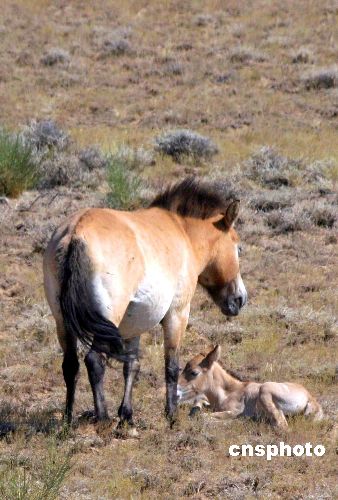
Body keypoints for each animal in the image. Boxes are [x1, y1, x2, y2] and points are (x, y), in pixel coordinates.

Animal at [43, 178, 247, 428]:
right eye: (238, 247)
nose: (240, 299)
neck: (182, 233)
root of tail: (76, 233)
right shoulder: (177, 314)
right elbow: (171, 366)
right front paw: (171, 415)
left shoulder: (134, 324)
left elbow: (131, 366)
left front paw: (127, 415)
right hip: (108, 317)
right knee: (94, 361)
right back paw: (103, 418)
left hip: (62, 321)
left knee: (71, 365)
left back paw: (68, 419)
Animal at [177, 346, 322, 428]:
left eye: (194, 372)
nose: (176, 392)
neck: (229, 391)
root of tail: (311, 398)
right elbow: (196, 408)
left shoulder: (234, 411)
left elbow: (203, 416)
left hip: (265, 390)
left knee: (281, 425)